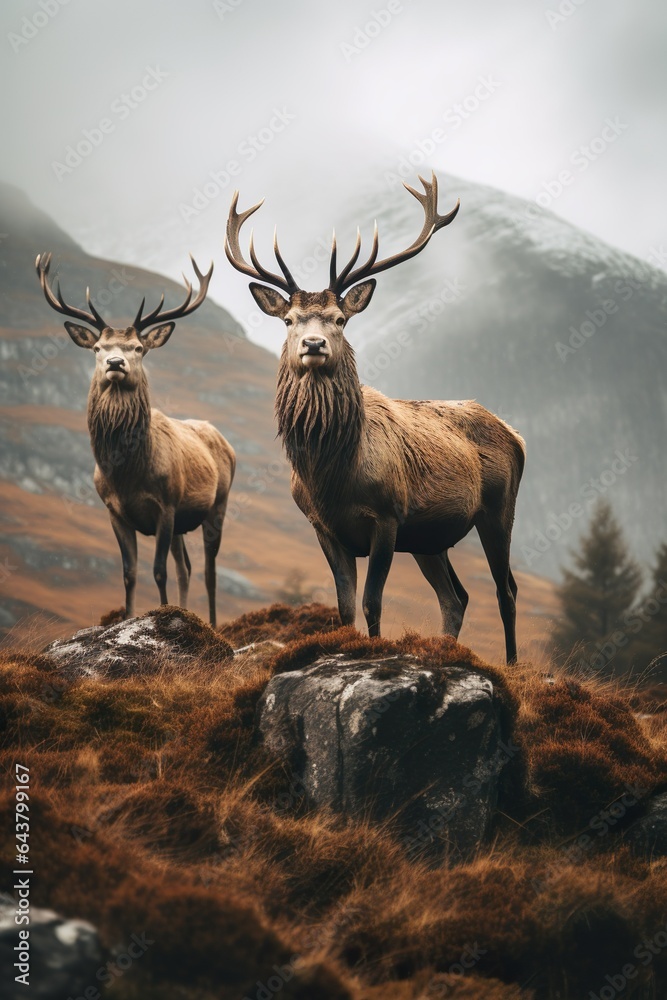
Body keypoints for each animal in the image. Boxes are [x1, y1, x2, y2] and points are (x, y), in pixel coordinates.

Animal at [35, 253, 235, 627]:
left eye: (139, 347)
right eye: (98, 347)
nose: (116, 362)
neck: (126, 473)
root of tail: (224, 441)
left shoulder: (165, 506)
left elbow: (158, 571)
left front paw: (163, 615)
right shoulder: (115, 511)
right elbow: (129, 573)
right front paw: (129, 618)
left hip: (217, 504)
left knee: (209, 570)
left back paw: (213, 624)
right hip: (183, 523)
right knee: (186, 567)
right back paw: (188, 612)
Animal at [224, 173, 525, 663]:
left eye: (340, 319)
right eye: (288, 319)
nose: (312, 344)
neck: (331, 476)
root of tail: (516, 434)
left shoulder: (387, 516)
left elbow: (372, 601)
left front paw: (375, 652)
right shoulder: (324, 527)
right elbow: (345, 606)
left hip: (499, 508)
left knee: (506, 591)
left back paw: (513, 665)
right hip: (429, 539)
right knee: (456, 598)